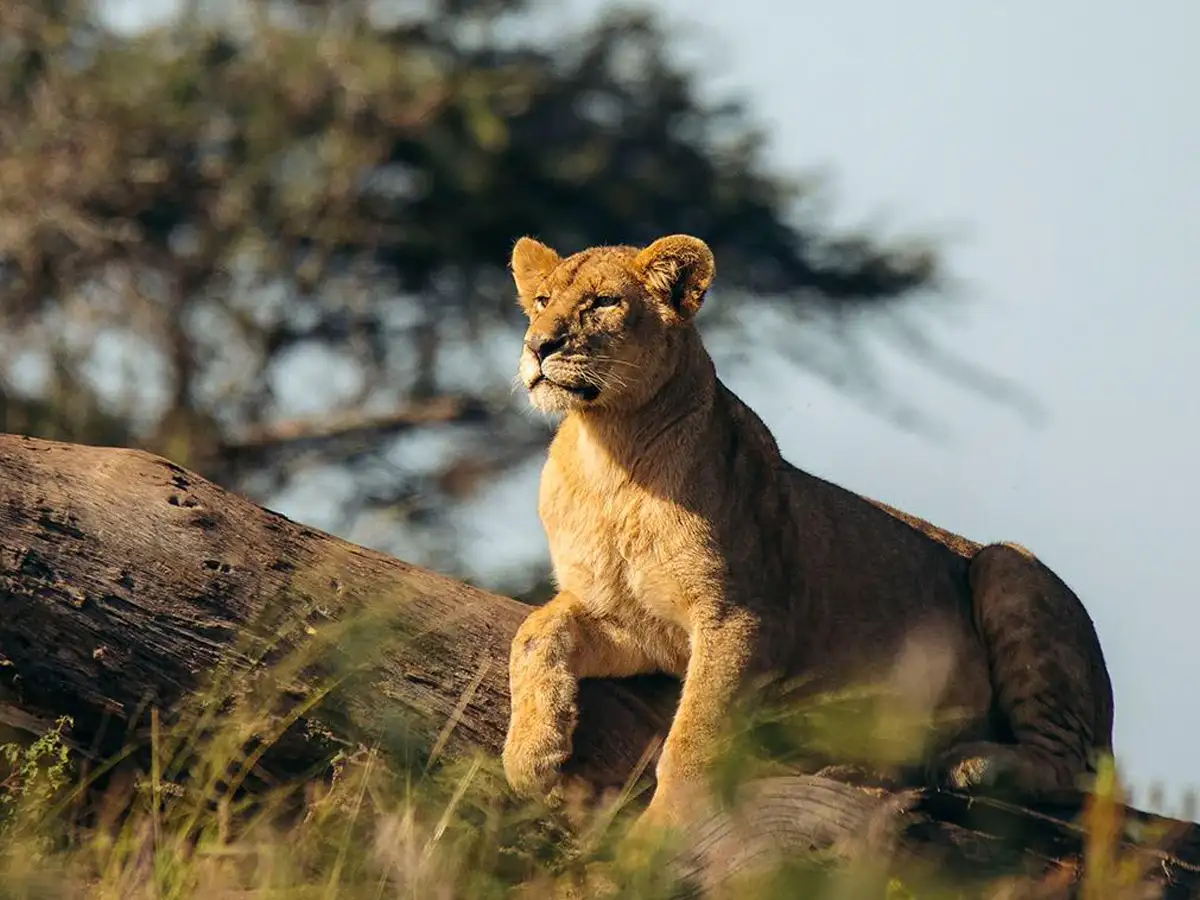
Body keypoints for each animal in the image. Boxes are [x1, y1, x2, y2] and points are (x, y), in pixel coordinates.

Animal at [501, 233, 1114, 830]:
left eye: (604, 301)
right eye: (541, 301)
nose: (538, 347)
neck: (610, 455)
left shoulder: (741, 619)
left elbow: (694, 735)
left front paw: (660, 832)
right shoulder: (632, 621)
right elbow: (534, 633)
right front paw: (531, 758)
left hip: (1007, 565)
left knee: (1074, 776)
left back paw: (969, 764)